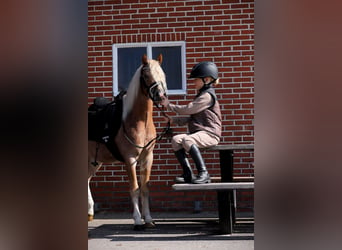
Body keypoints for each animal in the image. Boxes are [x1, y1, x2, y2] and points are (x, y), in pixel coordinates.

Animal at [87, 53, 166, 229]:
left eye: (163, 74)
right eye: (146, 75)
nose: (160, 96)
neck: (137, 121)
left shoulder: (147, 157)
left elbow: (145, 188)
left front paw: (148, 219)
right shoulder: (130, 159)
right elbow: (135, 188)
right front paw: (137, 220)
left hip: (94, 161)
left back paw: (89, 213)